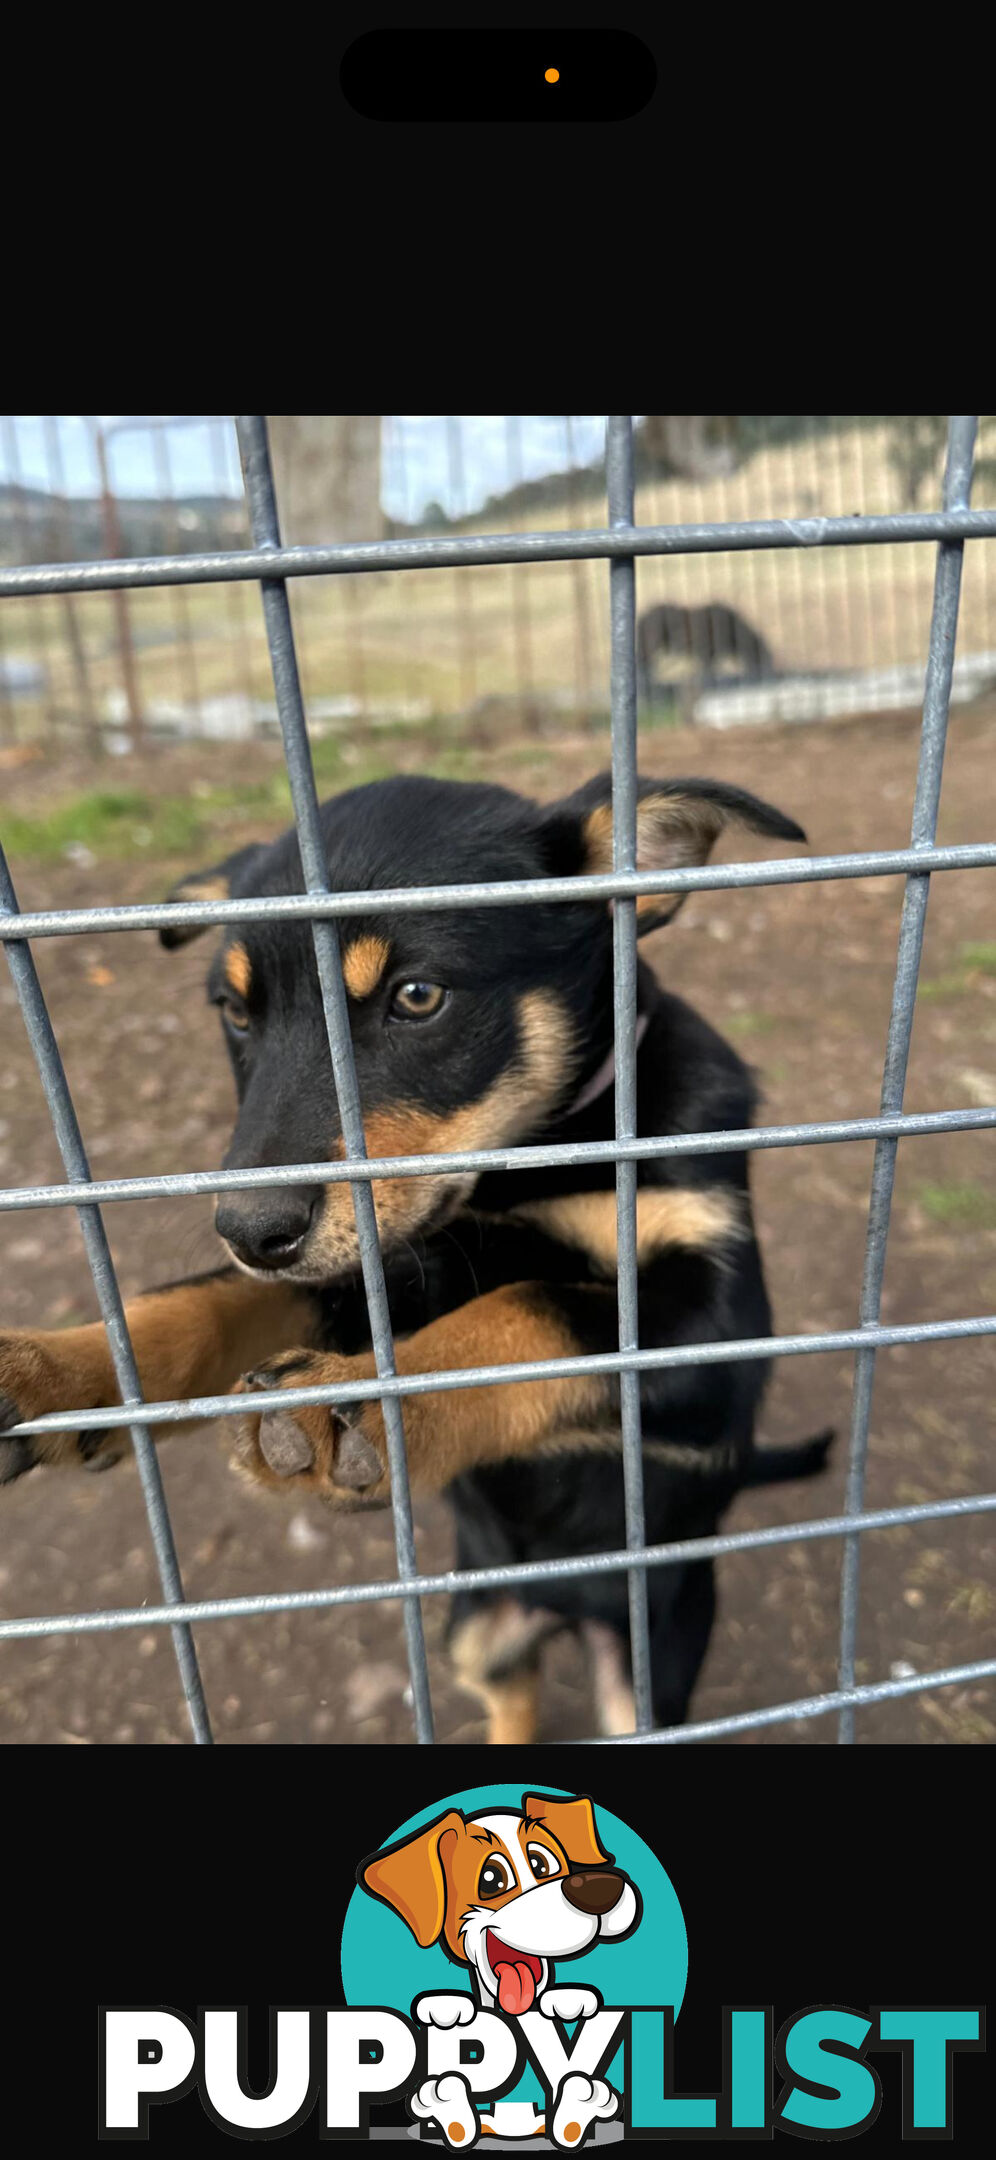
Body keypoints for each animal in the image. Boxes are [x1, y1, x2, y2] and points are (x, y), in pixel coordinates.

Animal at [0, 777, 829, 1736]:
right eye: (237, 1014)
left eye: (418, 996)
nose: (248, 1231)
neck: (528, 1164)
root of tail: (555, 1608)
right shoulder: (383, 1265)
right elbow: (206, 1302)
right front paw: (56, 1367)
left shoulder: (720, 1331)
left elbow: (530, 1307)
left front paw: (351, 1407)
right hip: (474, 1632)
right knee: (511, 1697)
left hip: (653, 1666)